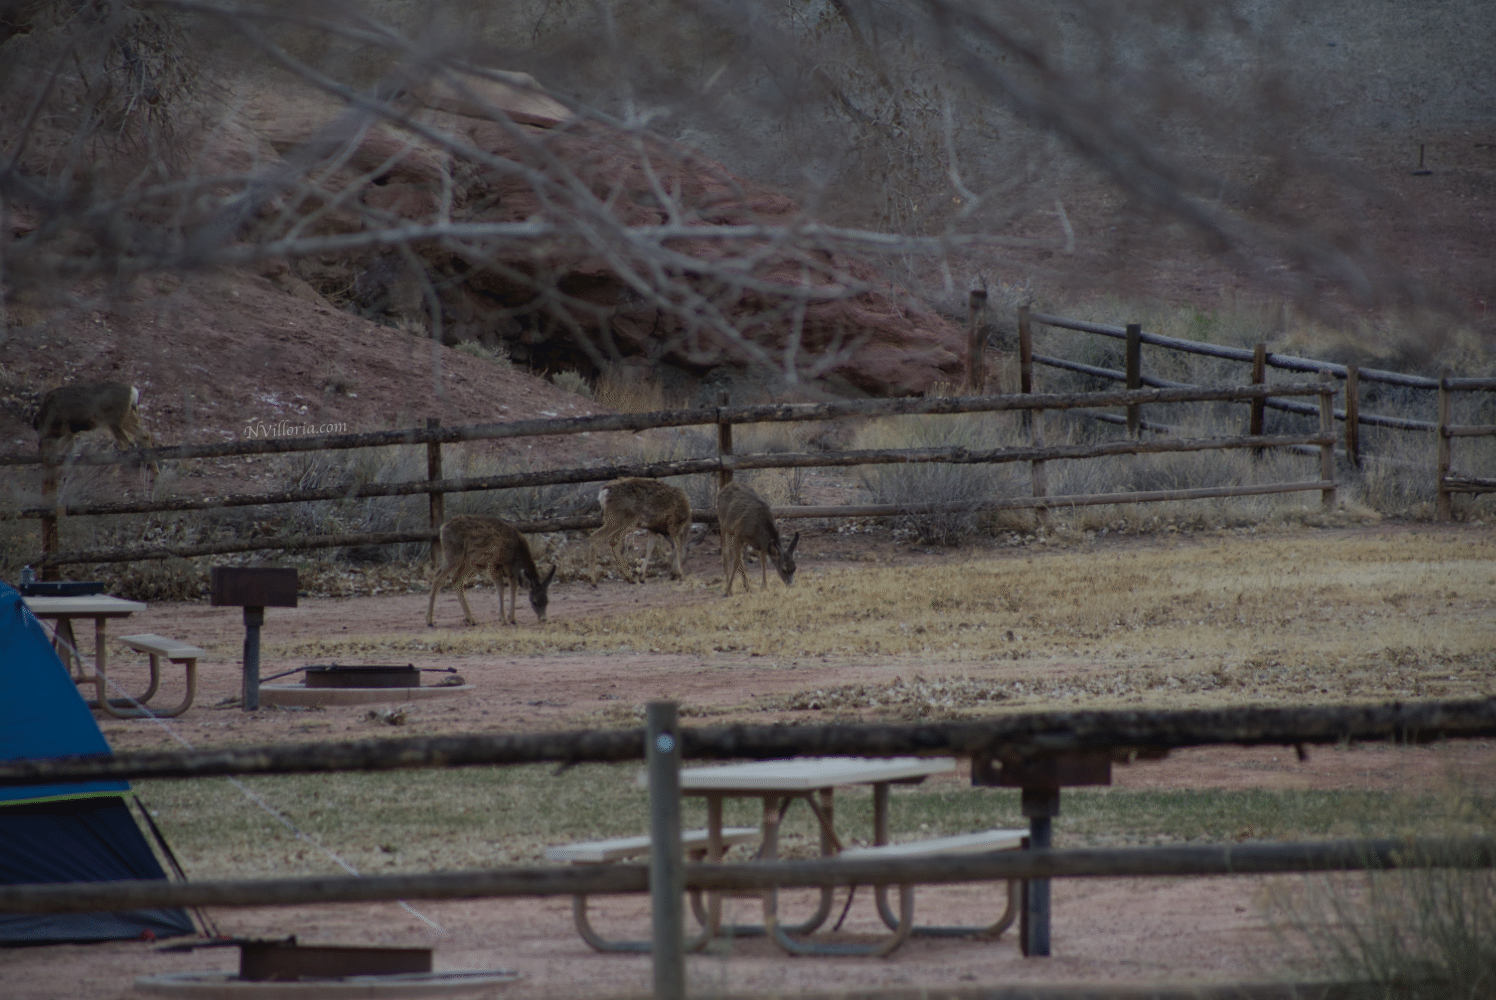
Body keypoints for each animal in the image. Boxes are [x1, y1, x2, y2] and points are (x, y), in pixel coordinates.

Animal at [426, 514, 556, 627]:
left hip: (470, 562)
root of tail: (442, 528)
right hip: (453, 554)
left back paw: (471, 619)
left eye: (547, 601)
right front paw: (502, 619)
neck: (516, 554)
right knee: (437, 578)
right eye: (534, 602)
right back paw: (429, 620)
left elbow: (514, 589)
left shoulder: (512, 571)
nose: (544, 619)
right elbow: (501, 588)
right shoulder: (493, 563)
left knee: (456, 579)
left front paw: (512, 618)